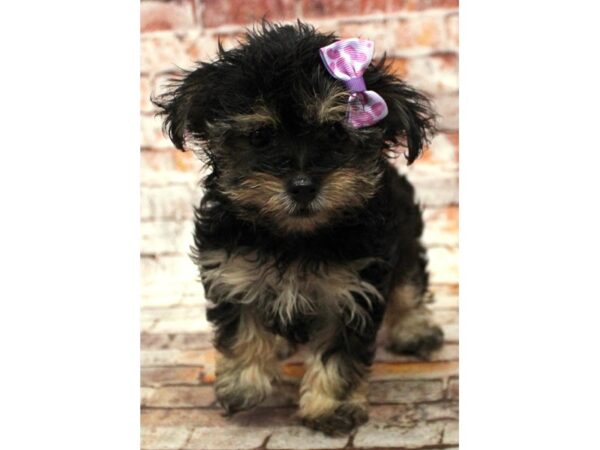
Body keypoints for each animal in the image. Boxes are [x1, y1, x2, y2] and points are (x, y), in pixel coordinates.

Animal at [154, 22, 446, 436]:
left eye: (337, 134)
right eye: (260, 136)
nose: (303, 186)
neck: (293, 237)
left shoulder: (352, 288)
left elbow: (338, 354)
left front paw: (331, 407)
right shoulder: (230, 269)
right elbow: (241, 328)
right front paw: (242, 385)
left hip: (404, 236)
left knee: (409, 284)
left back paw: (415, 329)